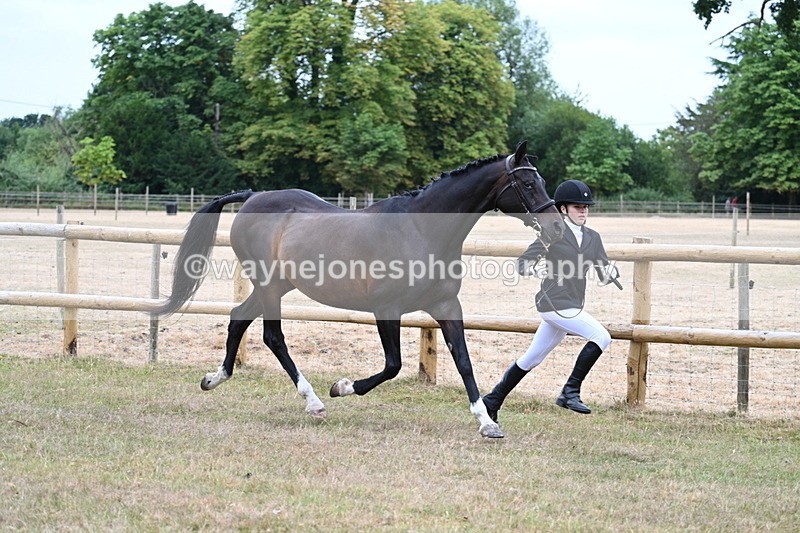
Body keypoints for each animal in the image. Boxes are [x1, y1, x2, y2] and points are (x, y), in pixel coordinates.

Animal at [152, 141, 564, 438]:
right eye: (529, 183)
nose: (558, 228)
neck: (420, 229)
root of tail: (254, 196)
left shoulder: (446, 305)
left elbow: (463, 361)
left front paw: (487, 422)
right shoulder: (387, 308)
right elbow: (392, 366)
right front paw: (342, 386)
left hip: (278, 285)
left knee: (239, 319)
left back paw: (214, 378)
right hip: (268, 285)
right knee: (272, 336)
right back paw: (315, 401)